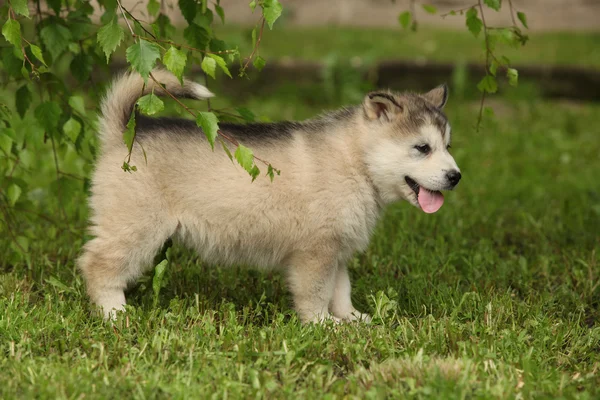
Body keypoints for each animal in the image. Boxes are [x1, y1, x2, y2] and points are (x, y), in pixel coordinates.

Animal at [79, 70, 462, 324]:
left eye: (448, 146)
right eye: (422, 148)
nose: (455, 177)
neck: (357, 161)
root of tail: (122, 134)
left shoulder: (337, 248)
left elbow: (341, 289)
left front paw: (353, 320)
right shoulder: (316, 251)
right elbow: (317, 292)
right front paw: (323, 325)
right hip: (136, 228)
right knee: (97, 264)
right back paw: (115, 313)